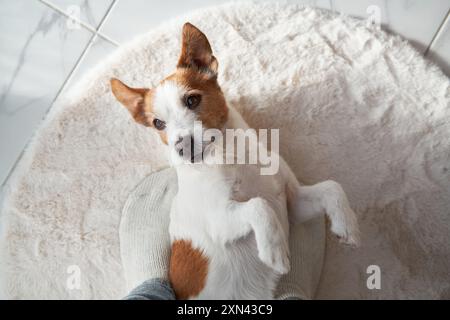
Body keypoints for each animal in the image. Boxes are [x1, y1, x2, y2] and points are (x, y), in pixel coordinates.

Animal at [110, 23, 358, 300]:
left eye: (192, 100)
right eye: (158, 123)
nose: (182, 147)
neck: (233, 156)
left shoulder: (293, 204)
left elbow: (332, 186)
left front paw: (347, 223)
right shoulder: (219, 222)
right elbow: (258, 205)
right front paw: (274, 248)